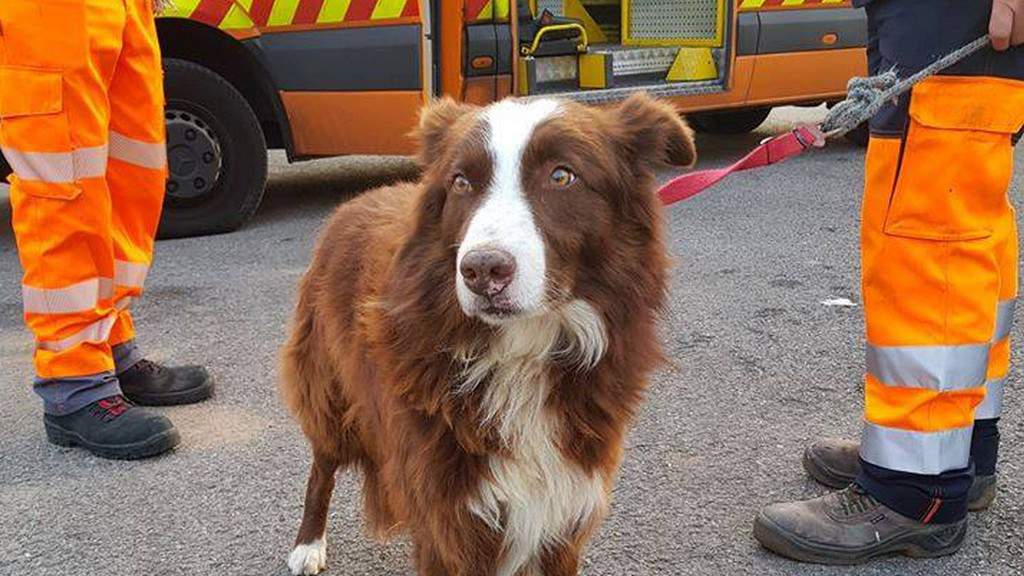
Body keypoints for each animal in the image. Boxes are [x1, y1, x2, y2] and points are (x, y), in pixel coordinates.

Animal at [280, 91, 696, 569]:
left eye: (562, 175)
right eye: (461, 182)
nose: (481, 270)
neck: (521, 351)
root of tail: (353, 202)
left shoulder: (563, 509)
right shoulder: (448, 517)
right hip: (329, 386)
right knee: (322, 464)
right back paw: (308, 544)